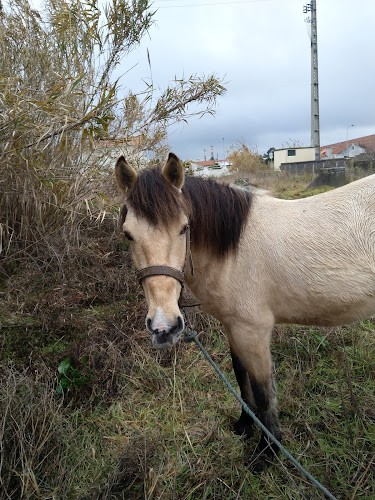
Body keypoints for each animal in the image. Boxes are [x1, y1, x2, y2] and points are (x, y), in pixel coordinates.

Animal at [116, 153, 375, 468]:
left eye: (184, 228)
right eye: (128, 235)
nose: (164, 327)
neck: (234, 250)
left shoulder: (253, 332)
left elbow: (264, 391)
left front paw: (267, 451)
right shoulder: (233, 327)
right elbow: (241, 377)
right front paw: (244, 425)